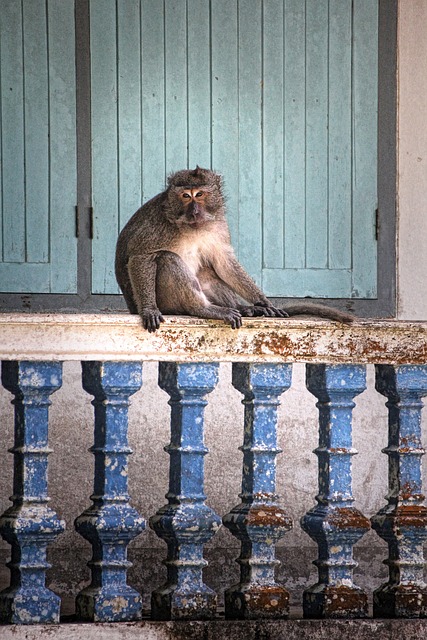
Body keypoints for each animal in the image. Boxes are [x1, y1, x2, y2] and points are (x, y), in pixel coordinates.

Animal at [115, 167, 354, 332]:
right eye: (186, 196)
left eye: (199, 195)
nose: (194, 211)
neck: (190, 226)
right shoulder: (158, 226)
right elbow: (141, 257)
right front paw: (149, 309)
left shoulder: (219, 224)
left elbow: (224, 262)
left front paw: (263, 301)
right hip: (168, 303)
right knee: (167, 259)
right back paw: (203, 309)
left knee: (206, 271)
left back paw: (245, 308)